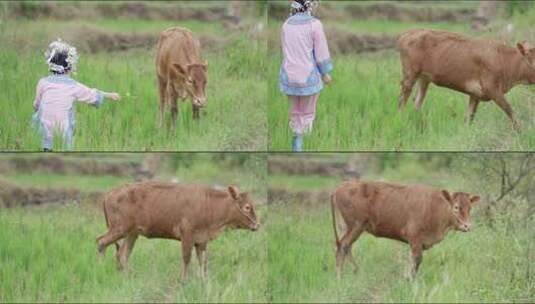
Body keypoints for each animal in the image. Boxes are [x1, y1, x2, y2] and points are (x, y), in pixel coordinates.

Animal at [98, 182, 262, 282]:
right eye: (247, 207)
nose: (257, 225)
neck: (210, 203)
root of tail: (109, 194)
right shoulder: (187, 237)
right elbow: (187, 258)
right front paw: (184, 280)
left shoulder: (201, 241)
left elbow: (202, 261)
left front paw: (203, 280)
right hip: (119, 230)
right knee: (102, 242)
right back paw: (101, 269)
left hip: (132, 234)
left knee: (123, 254)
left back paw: (128, 276)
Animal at [332, 180, 480, 280]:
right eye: (456, 207)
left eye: (470, 208)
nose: (467, 226)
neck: (435, 207)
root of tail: (340, 187)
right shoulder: (415, 238)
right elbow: (416, 261)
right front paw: (412, 281)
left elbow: (411, 260)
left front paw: (407, 278)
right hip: (356, 226)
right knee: (343, 246)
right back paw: (340, 278)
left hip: (348, 228)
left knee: (345, 247)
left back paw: (354, 271)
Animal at [398, 29, 535, 131]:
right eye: (531, 60)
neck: (505, 60)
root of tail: (406, 34)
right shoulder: (491, 88)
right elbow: (509, 110)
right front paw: (521, 132)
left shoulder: (476, 93)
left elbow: (469, 117)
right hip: (410, 74)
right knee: (402, 100)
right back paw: (401, 120)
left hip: (424, 79)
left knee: (417, 102)